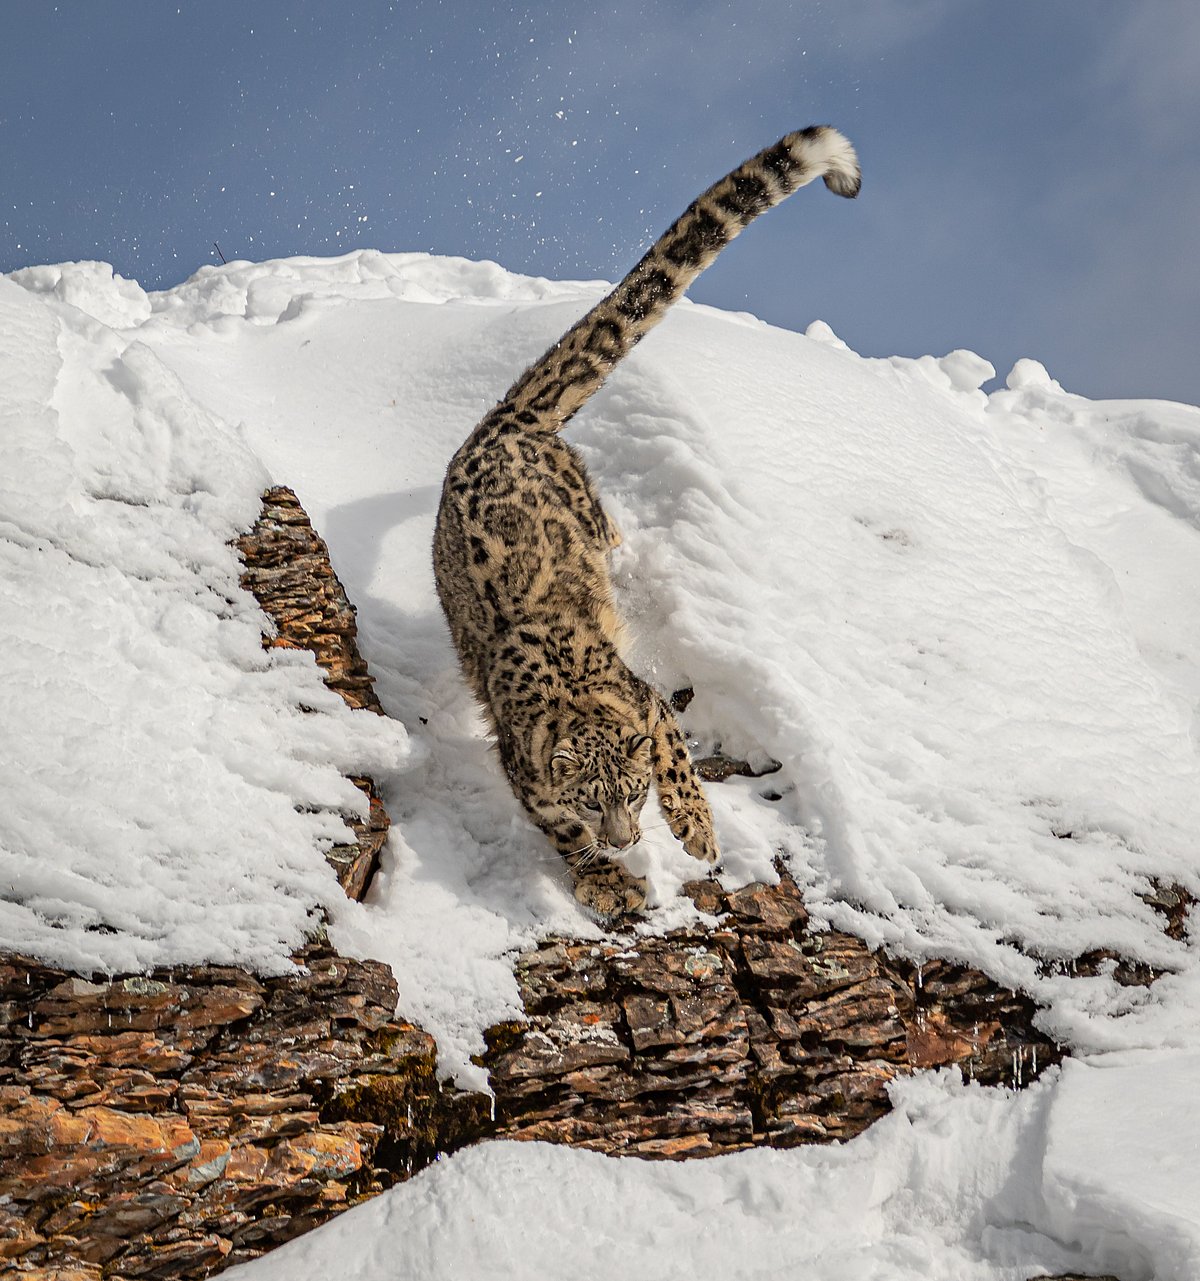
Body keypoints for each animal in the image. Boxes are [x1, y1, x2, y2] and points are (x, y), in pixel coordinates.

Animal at [433, 125, 860, 920]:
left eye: (632, 793)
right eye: (590, 797)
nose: (627, 835)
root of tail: (503, 425)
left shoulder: (649, 705)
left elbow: (675, 750)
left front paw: (694, 826)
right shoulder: (525, 774)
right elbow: (558, 832)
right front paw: (603, 876)